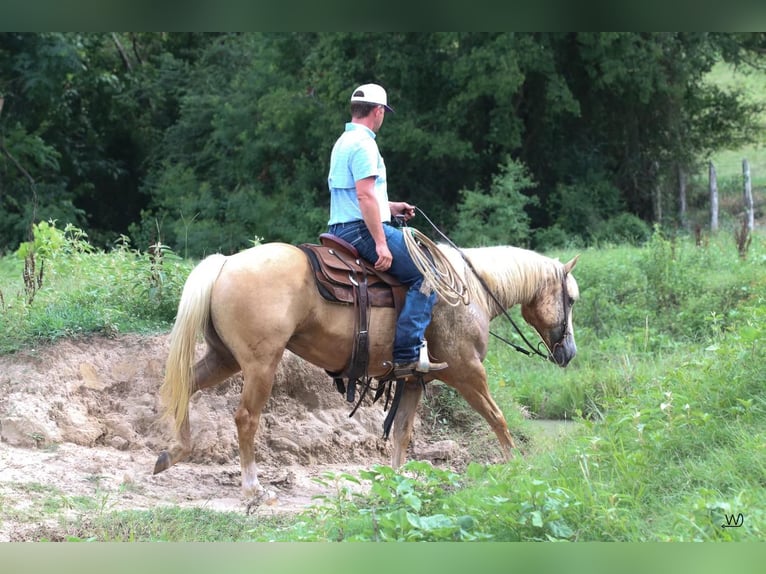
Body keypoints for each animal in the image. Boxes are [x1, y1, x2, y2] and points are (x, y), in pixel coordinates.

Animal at [153, 241, 580, 502]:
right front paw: (519, 468)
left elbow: (402, 433)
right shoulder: (467, 372)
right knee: (245, 418)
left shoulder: (413, 380)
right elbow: (498, 418)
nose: (570, 353)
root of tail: (226, 262)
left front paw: (396, 483)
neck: (469, 291)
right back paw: (253, 487)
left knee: (184, 388)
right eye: (572, 299)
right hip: (261, 365)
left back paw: (173, 452)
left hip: (223, 357)